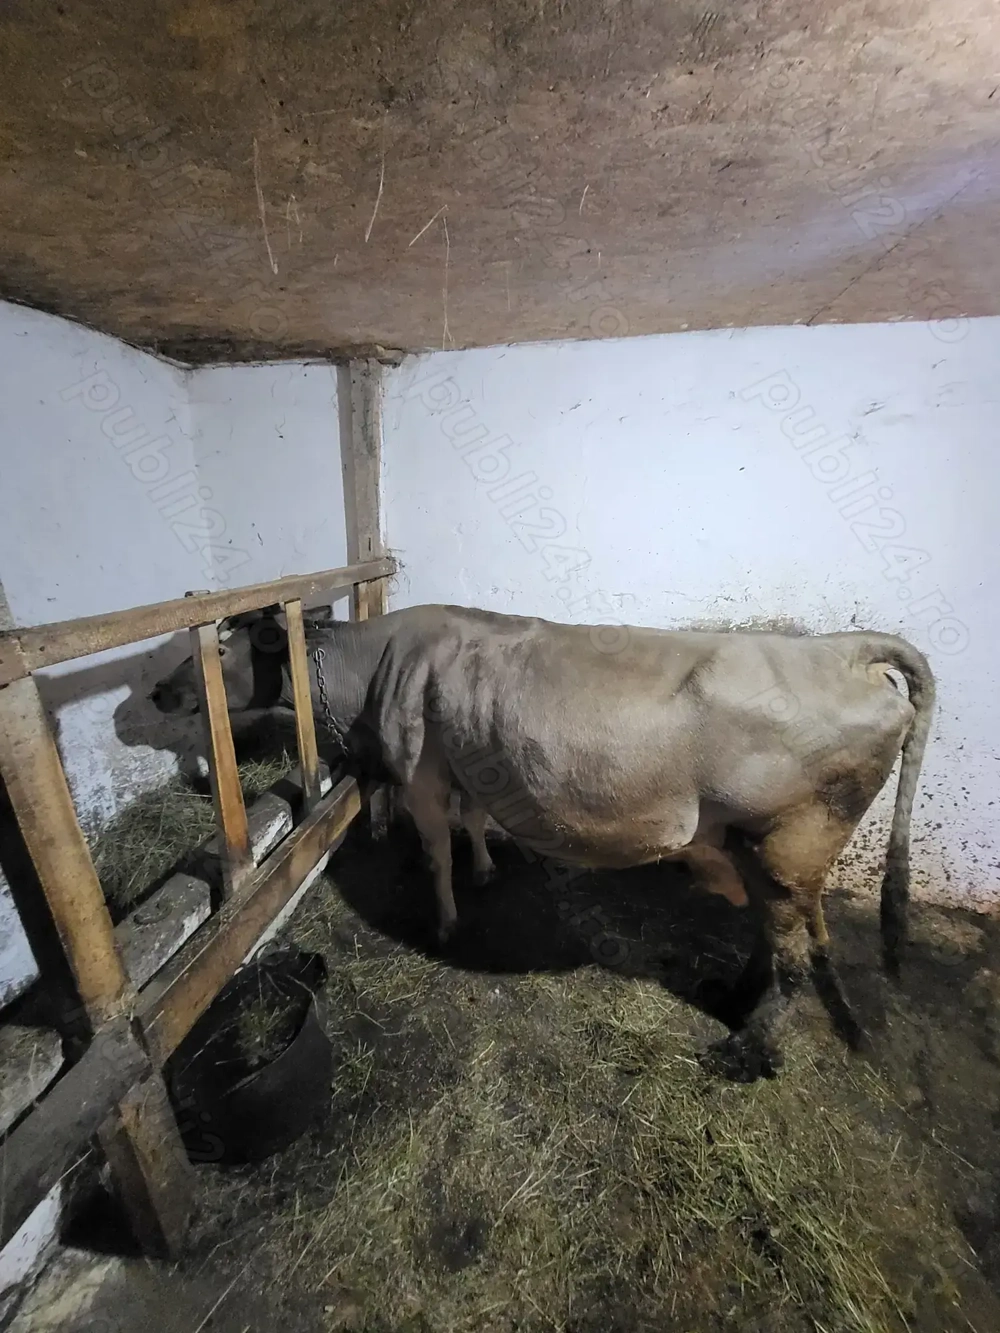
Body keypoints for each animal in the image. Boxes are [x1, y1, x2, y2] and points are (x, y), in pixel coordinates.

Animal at [150, 603, 934, 1083]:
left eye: (224, 643)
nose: (157, 693)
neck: (374, 671)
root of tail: (846, 652)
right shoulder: (469, 757)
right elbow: (472, 822)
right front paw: (485, 868)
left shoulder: (421, 770)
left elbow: (437, 849)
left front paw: (445, 917)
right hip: (777, 851)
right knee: (778, 937)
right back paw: (737, 994)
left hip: (787, 842)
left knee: (794, 960)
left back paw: (742, 1048)